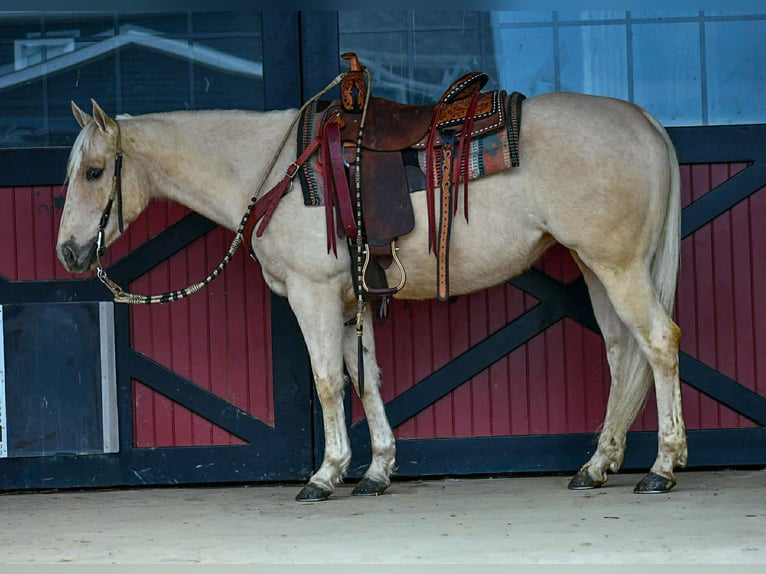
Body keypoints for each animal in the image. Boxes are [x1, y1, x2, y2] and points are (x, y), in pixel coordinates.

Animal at [56, 86, 687, 502]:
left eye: (94, 172)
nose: (68, 253)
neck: (276, 170)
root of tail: (644, 120)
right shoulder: (344, 301)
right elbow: (365, 379)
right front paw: (377, 470)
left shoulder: (311, 294)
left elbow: (328, 382)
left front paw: (325, 474)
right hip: (595, 266)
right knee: (622, 353)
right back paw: (597, 464)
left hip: (618, 267)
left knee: (659, 342)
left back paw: (661, 466)